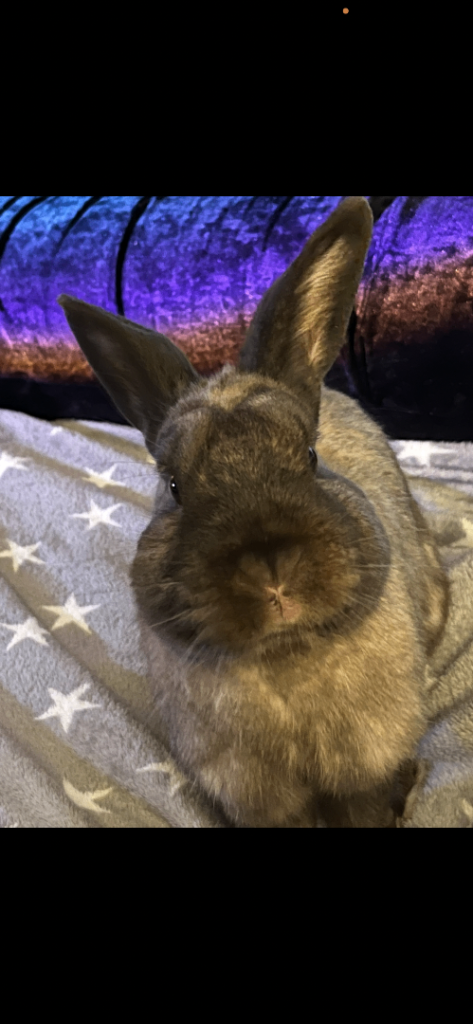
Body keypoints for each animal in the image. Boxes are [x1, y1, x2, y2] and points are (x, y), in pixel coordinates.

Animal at [57, 196, 449, 828]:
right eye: (174, 486)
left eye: (309, 456)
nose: (271, 567)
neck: (285, 658)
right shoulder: (257, 798)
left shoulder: (364, 770)